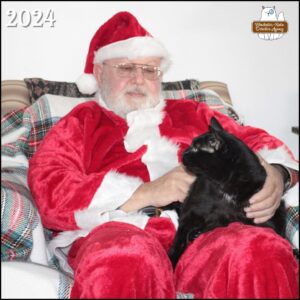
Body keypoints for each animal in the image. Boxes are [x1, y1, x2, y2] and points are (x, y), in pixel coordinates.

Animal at [168, 116, 288, 268]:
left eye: (195, 148)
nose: (184, 153)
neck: (226, 185)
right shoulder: (191, 209)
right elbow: (180, 239)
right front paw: (171, 262)